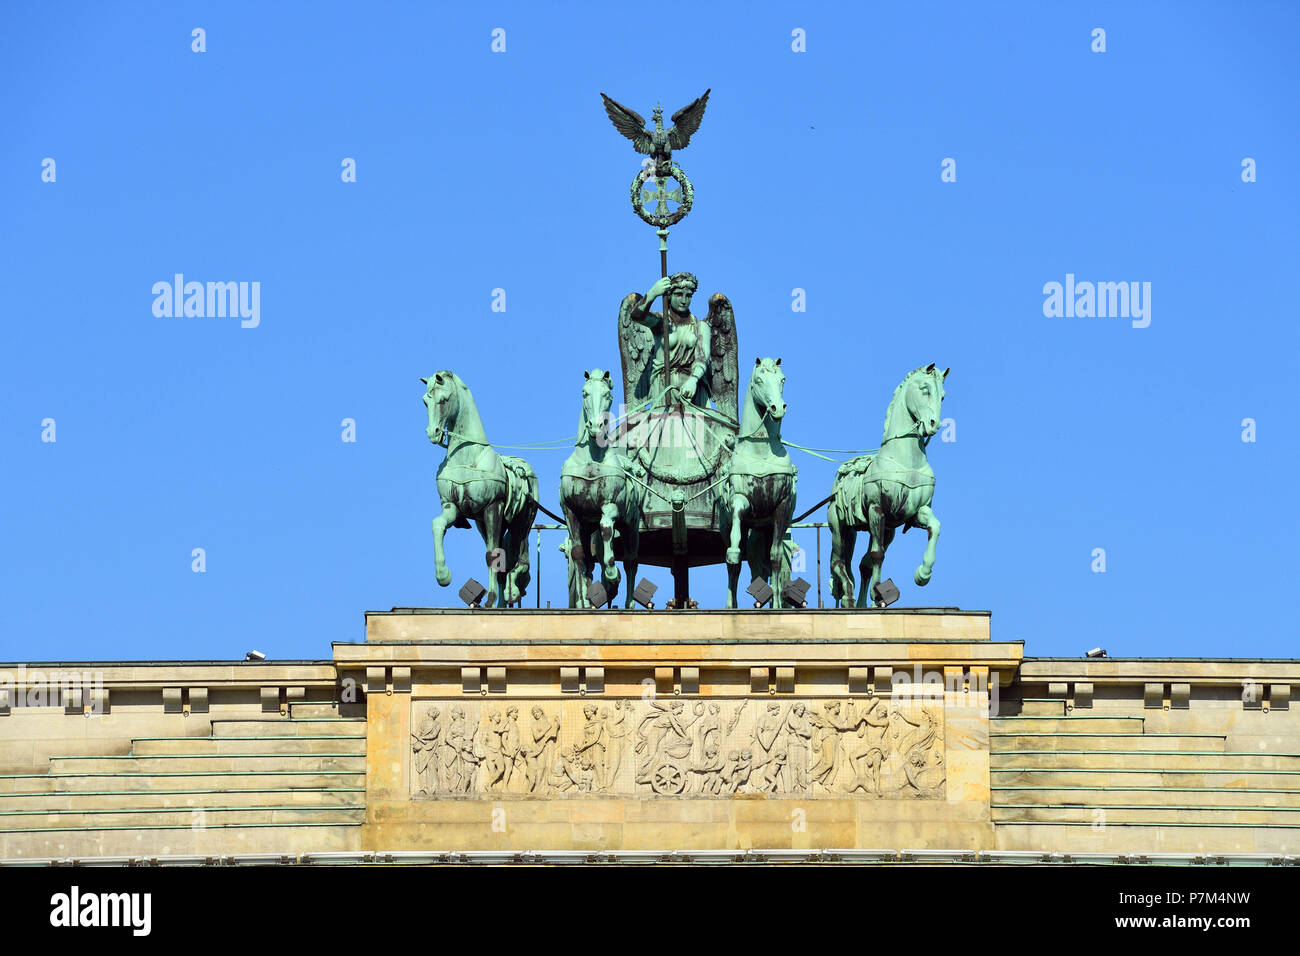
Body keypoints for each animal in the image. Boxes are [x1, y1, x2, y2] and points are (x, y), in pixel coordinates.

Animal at [426, 371, 538, 606]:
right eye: (425, 400)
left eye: (443, 400)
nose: (433, 433)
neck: (467, 457)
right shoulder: (452, 507)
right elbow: (437, 524)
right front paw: (443, 575)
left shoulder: (492, 507)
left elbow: (492, 555)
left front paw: (491, 599)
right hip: (483, 524)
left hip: (520, 523)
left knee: (521, 557)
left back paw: (511, 591)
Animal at [556, 369, 642, 608]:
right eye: (585, 393)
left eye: (607, 395)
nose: (595, 426)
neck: (591, 459)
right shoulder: (571, 513)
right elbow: (579, 555)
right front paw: (583, 603)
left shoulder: (610, 505)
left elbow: (605, 527)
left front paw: (612, 575)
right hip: (588, 528)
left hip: (631, 525)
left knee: (631, 561)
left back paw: (628, 602)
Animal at [717, 356, 795, 608]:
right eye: (759, 380)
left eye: (782, 379)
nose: (778, 408)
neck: (761, 450)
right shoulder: (740, 500)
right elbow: (735, 537)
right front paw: (733, 552)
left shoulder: (782, 507)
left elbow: (775, 557)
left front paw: (777, 604)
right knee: (735, 566)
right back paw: (731, 605)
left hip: (763, 529)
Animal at [826, 361, 951, 608]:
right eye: (925, 389)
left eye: (942, 396)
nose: (933, 425)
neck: (905, 461)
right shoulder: (877, 509)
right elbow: (877, 555)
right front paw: (877, 593)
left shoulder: (916, 512)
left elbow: (935, 527)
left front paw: (923, 574)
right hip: (840, 527)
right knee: (838, 562)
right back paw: (848, 596)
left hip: (885, 530)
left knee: (862, 565)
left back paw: (862, 605)